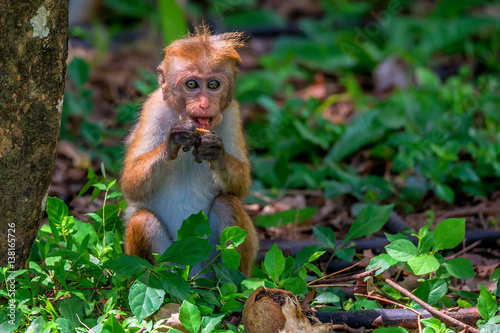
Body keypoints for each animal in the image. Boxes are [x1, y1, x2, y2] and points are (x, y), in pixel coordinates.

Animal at [119, 25, 256, 274]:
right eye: (191, 84)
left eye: (213, 84)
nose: (204, 104)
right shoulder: (153, 108)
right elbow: (131, 186)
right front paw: (173, 141)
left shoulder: (232, 112)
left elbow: (240, 188)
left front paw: (215, 151)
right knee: (143, 220)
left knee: (227, 203)